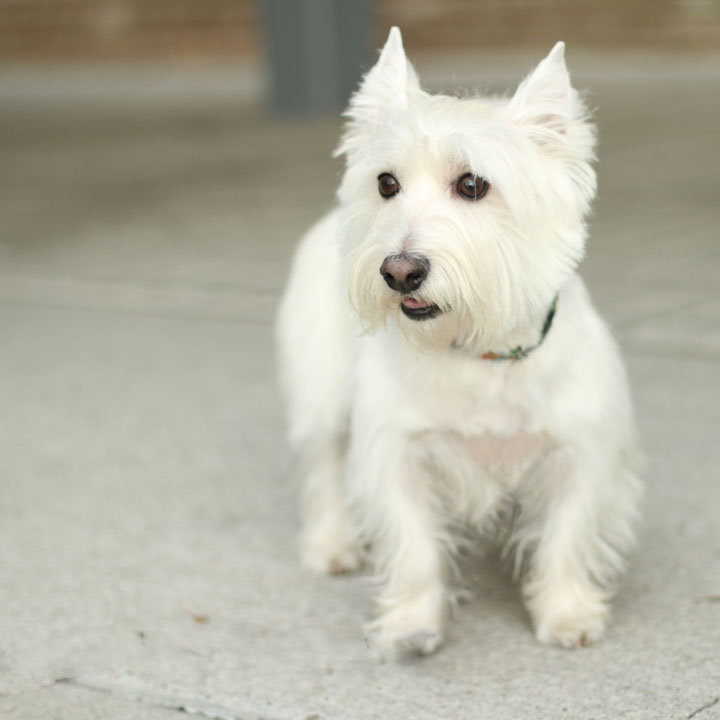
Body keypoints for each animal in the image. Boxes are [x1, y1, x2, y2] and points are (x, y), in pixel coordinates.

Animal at [276, 28, 640, 660]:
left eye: (472, 184)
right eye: (386, 183)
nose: (399, 271)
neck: (478, 351)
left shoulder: (579, 451)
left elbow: (566, 537)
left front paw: (566, 614)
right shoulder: (398, 450)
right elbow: (415, 547)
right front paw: (411, 624)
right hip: (323, 391)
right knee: (325, 465)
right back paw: (332, 544)